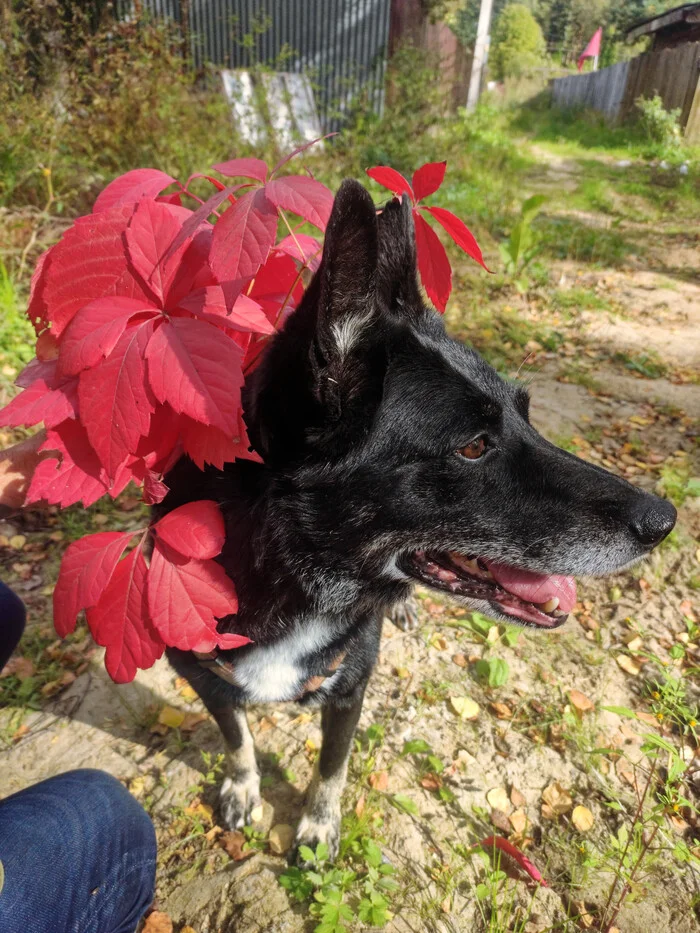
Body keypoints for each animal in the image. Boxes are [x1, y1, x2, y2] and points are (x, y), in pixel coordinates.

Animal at [161, 178, 676, 864]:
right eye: (473, 446)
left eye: (526, 414)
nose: (665, 521)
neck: (293, 574)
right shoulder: (201, 678)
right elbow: (237, 736)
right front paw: (244, 788)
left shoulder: (349, 688)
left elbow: (331, 767)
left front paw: (317, 826)